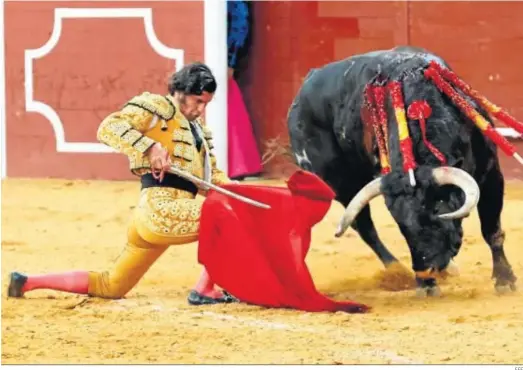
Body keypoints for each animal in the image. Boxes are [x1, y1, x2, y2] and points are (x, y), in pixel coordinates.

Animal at [288, 44, 520, 296]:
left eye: (435, 214)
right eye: (401, 226)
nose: (425, 273)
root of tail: (303, 90)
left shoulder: (491, 173)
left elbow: (491, 229)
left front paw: (504, 280)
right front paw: (426, 286)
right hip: (339, 183)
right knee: (364, 226)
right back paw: (397, 271)